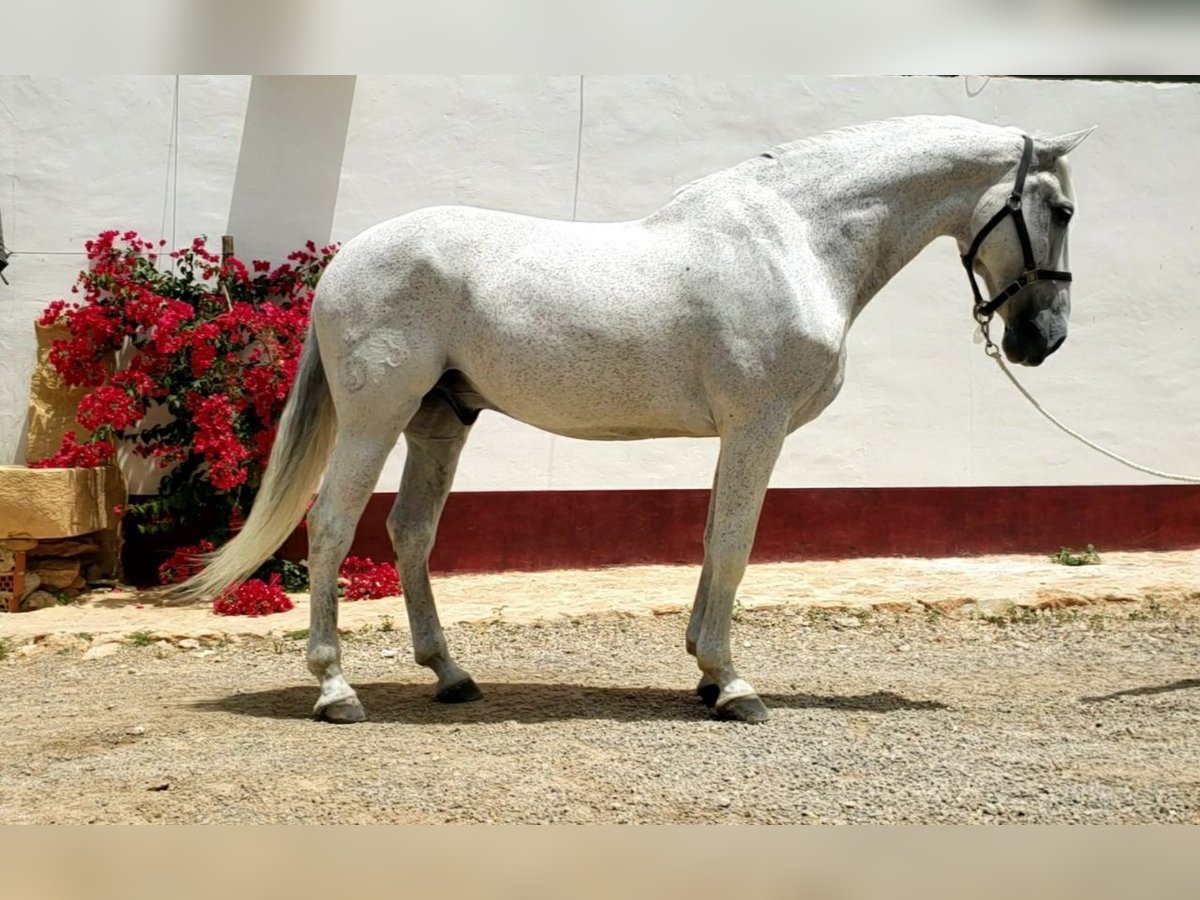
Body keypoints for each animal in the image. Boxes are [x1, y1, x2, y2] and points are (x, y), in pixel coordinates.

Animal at [175, 114, 1089, 724]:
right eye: (1063, 211)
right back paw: (336, 689)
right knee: (332, 528)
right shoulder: (757, 427)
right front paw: (735, 685)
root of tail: (347, 261)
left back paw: (451, 675)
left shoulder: (737, 435)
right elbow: (735, 545)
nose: (1044, 338)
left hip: (441, 420)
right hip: (376, 419)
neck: (795, 241)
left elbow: (715, 539)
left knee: (410, 531)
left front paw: (706, 674)